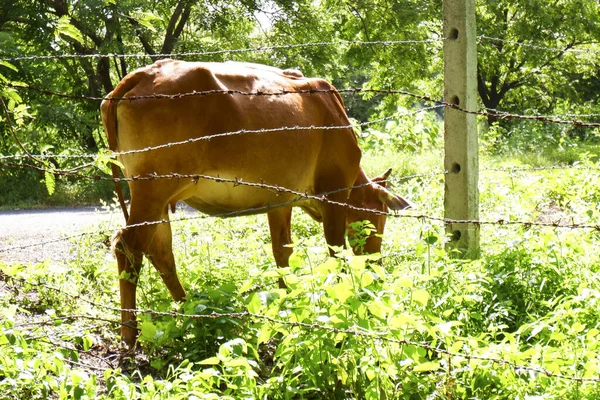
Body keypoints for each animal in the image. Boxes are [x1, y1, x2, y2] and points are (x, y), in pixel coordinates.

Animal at [102, 60, 412, 346]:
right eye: (380, 217)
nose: (376, 265)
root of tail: (143, 74)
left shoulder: (281, 201)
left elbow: (282, 252)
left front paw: (287, 300)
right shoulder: (334, 194)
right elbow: (335, 252)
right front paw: (341, 297)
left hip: (157, 199)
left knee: (160, 253)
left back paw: (189, 309)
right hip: (152, 190)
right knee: (128, 247)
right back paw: (130, 333)